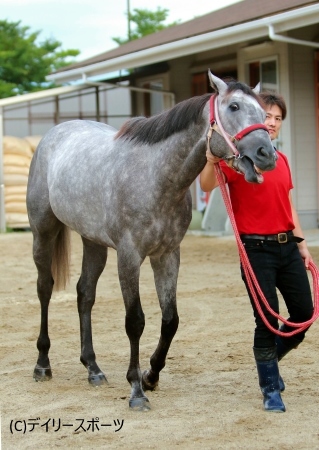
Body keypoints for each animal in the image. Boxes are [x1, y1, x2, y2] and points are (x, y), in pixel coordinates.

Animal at [26, 71, 278, 412]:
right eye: (234, 107)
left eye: (264, 113)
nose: (267, 155)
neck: (157, 176)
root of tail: (53, 134)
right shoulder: (129, 256)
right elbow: (135, 321)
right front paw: (136, 390)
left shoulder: (167, 255)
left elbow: (170, 320)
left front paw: (151, 375)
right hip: (43, 231)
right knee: (45, 288)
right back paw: (42, 364)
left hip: (93, 242)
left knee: (84, 294)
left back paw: (93, 368)